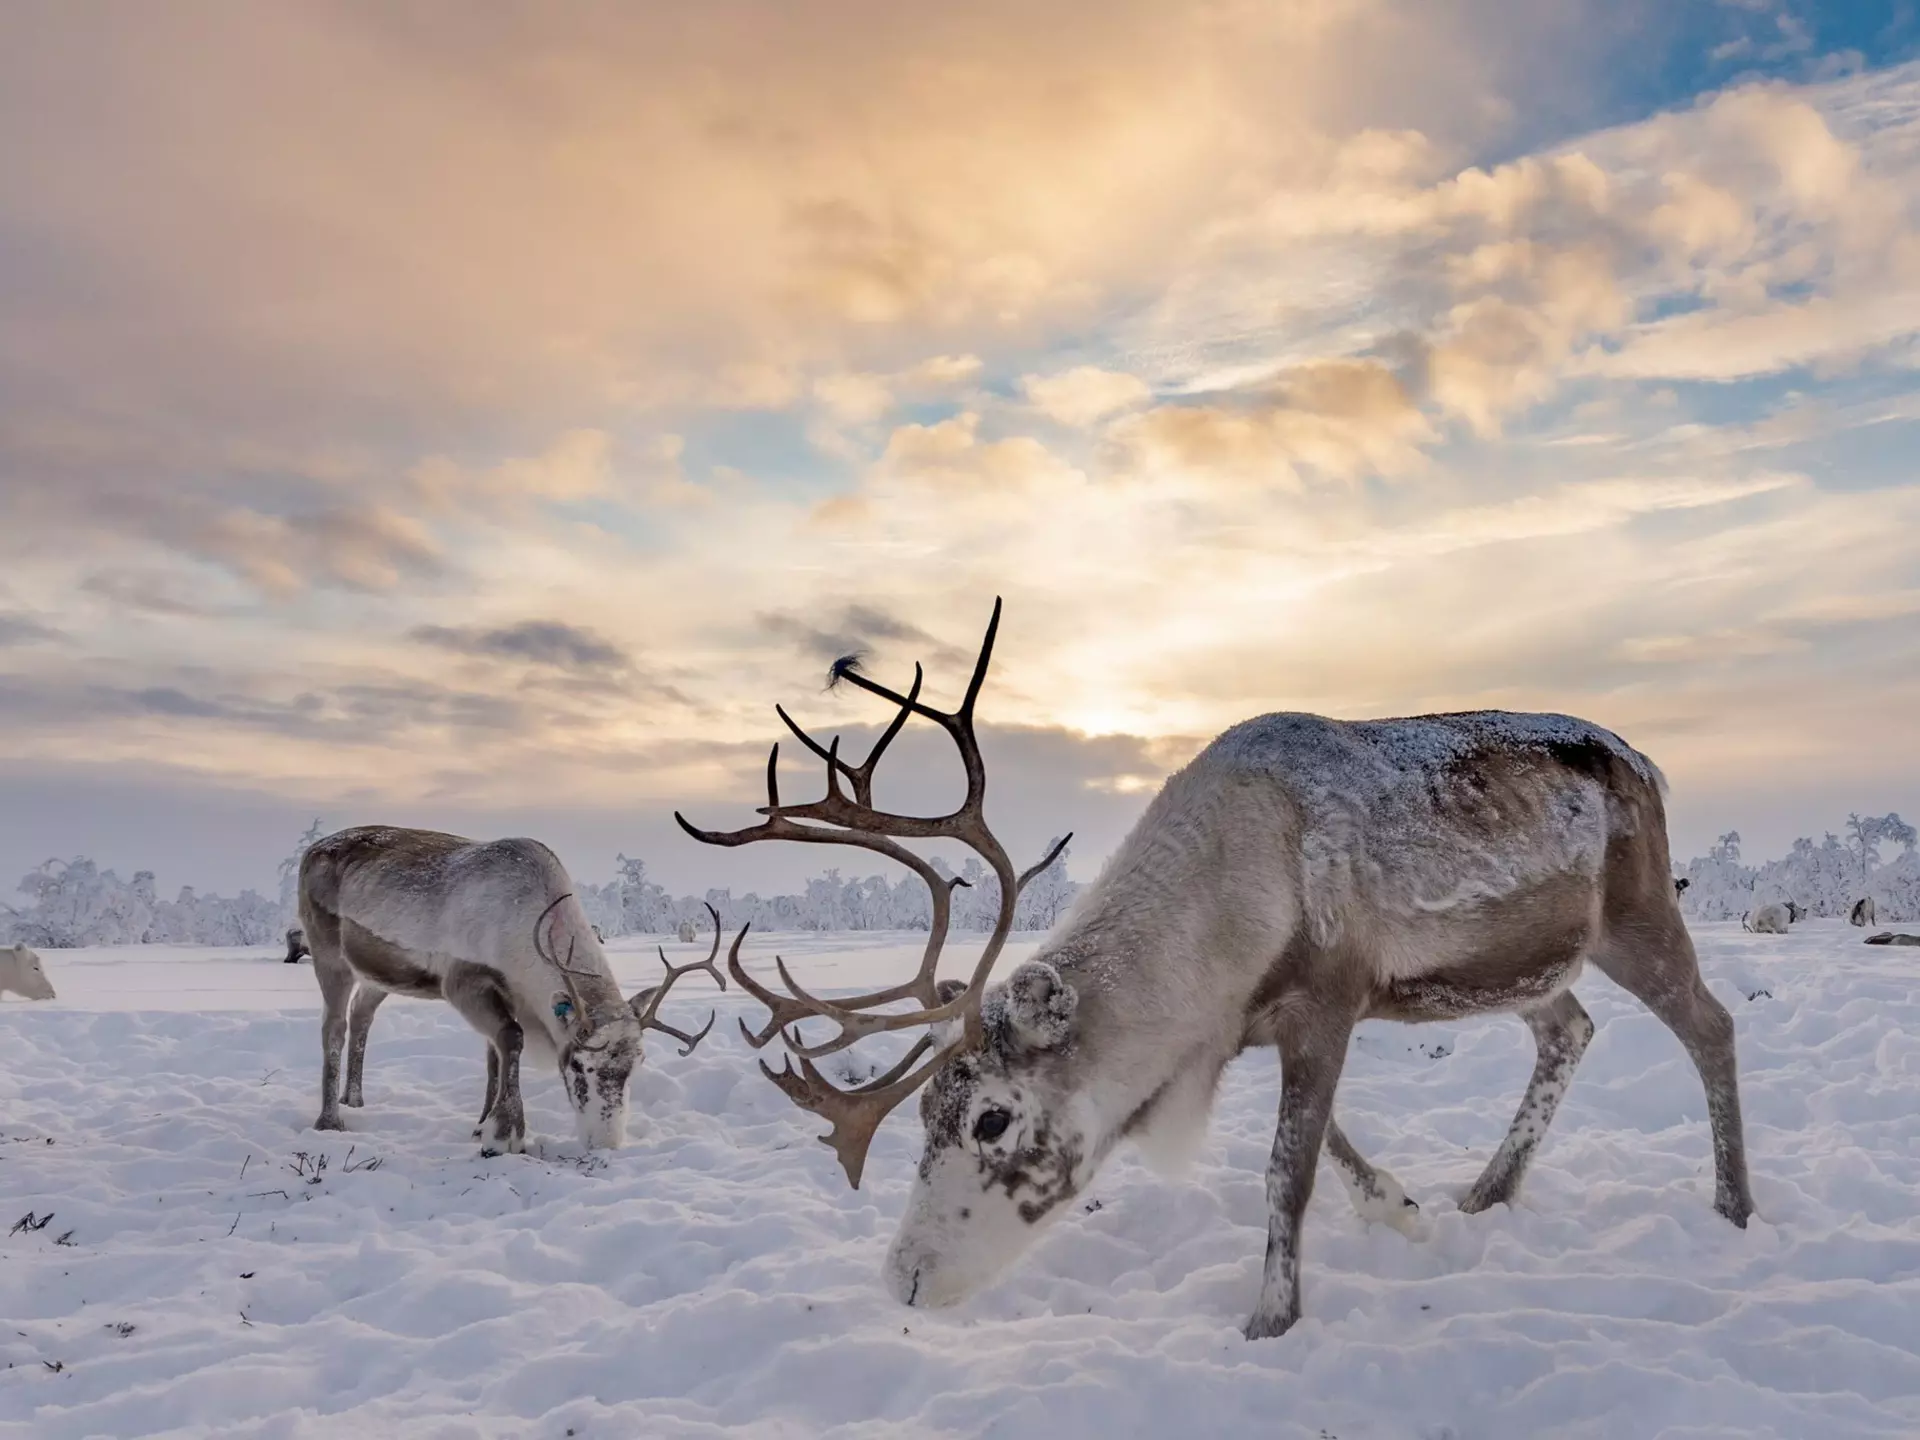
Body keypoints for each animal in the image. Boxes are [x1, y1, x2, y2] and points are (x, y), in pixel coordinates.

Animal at [297, 827, 725, 1153]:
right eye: (577, 1065)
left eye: (636, 1065)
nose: (605, 1143)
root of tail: (310, 851)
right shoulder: (464, 982)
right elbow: (512, 1039)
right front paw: (506, 1133)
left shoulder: (510, 995)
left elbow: (495, 1056)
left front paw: (483, 1124)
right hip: (328, 953)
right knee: (333, 1026)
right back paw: (329, 1120)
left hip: (379, 975)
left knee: (361, 1016)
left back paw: (354, 1100)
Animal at [677, 598, 1756, 1340]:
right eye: (925, 1113)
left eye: (990, 1117)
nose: (904, 1279)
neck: (1221, 908)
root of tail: (1647, 761)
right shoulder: (1247, 1024)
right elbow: (1332, 1151)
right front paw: (1405, 1211)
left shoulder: (1328, 1000)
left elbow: (1288, 1170)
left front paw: (1269, 1323)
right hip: (1530, 967)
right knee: (1570, 1028)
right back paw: (1485, 1195)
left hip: (1638, 913)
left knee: (1711, 1024)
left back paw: (1734, 1206)